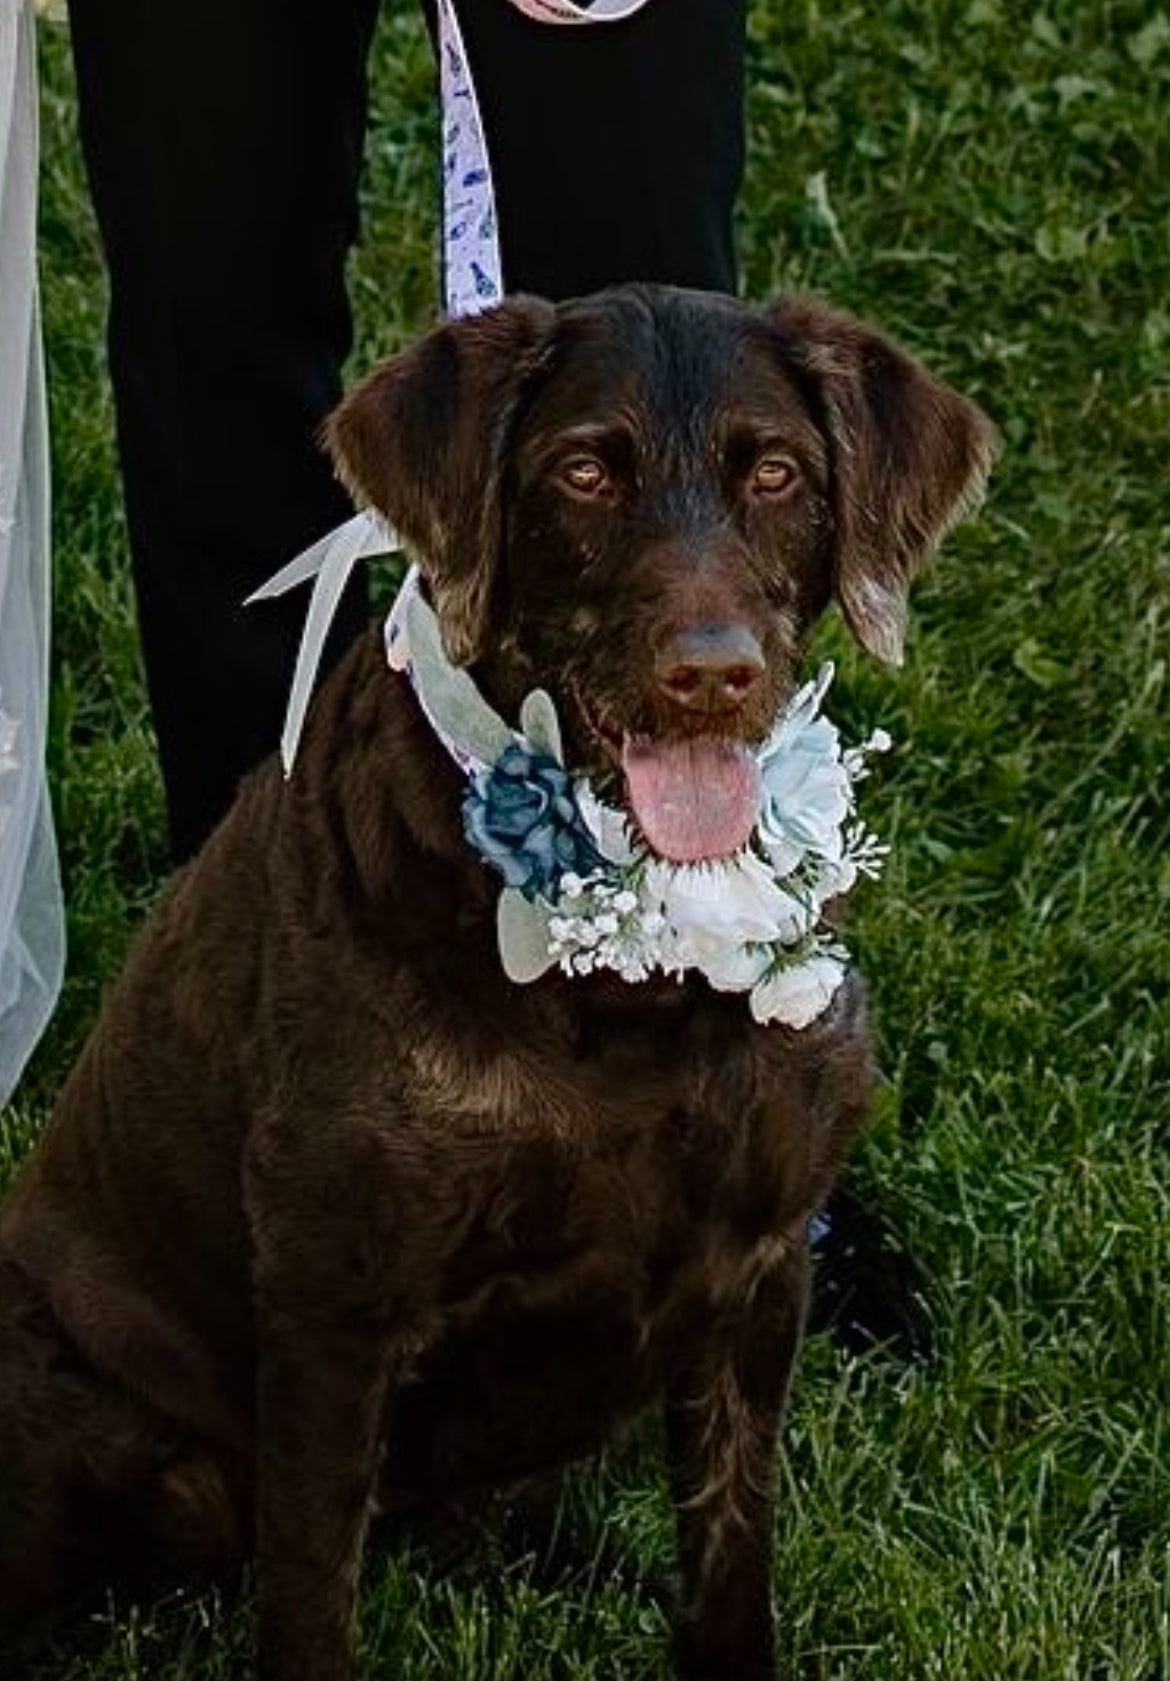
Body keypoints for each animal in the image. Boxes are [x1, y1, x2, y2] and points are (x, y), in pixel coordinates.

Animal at [0, 289, 988, 1681]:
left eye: (777, 474)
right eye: (582, 472)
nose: (713, 673)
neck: (634, 982)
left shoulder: (757, 1267)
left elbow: (731, 1550)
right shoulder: (335, 1304)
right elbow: (311, 1601)